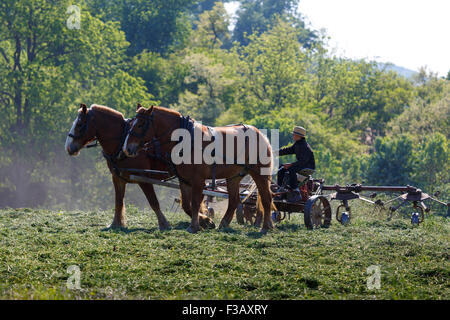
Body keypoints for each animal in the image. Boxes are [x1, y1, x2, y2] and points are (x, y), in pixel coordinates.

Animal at [63, 103, 216, 230]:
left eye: (80, 124)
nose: (68, 147)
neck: (121, 142)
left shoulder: (143, 178)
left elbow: (153, 202)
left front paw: (164, 223)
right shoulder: (118, 178)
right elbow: (118, 202)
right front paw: (115, 224)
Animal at [123, 106, 276, 234]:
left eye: (141, 124)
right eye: (131, 124)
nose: (127, 148)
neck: (185, 140)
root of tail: (260, 134)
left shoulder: (198, 180)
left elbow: (196, 202)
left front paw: (194, 226)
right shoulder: (184, 180)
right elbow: (186, 204)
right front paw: (205, 222)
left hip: (259, 173)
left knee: (266, 198)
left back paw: (265, 226)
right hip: (234, 176)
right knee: (234, 200)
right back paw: (224, 224)